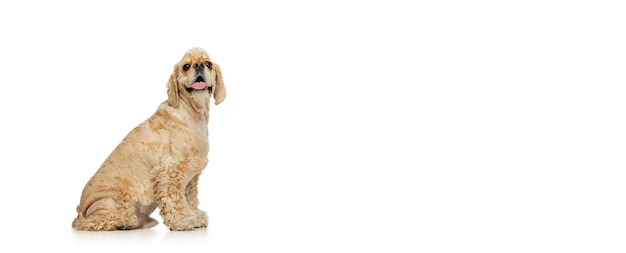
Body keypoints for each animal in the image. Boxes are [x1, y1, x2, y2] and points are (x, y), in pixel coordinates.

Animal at [72, 47, 225, 231]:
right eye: (186, 66)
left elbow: (189, 197)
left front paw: (195, 215)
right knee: (91, 222)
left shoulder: (191, 175)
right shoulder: (171, 170)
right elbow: (176, 199)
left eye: (208, 64)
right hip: (114, 201)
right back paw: (121, 223)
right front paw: (183, 220)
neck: (192, 112)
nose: (199, 65)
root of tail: (81, 208)